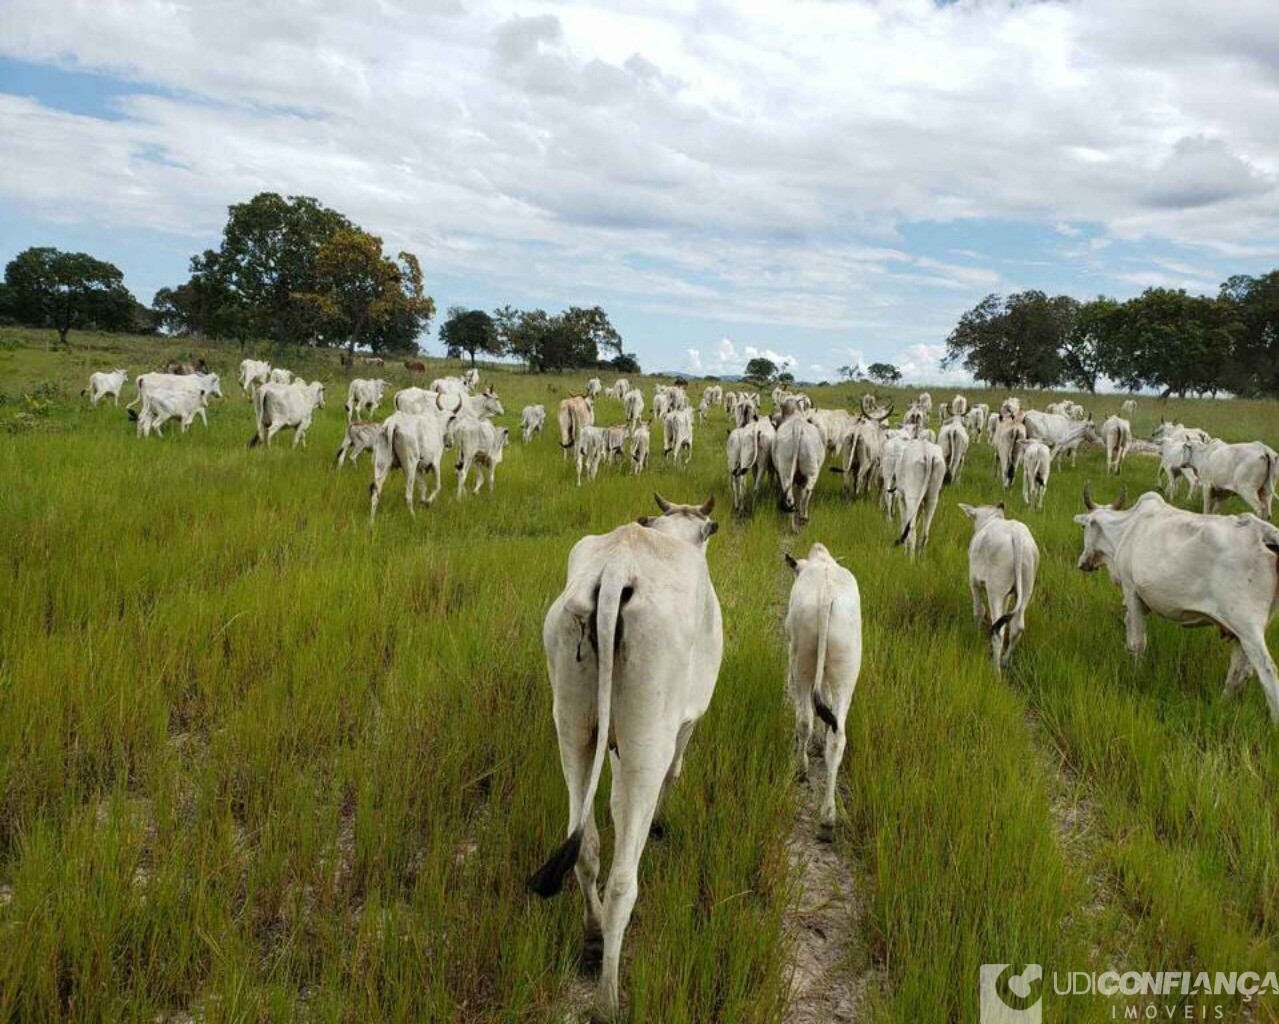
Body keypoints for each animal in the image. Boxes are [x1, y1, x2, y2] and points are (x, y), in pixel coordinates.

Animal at [526, 493, 726, 1012]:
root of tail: (618, 567)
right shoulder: (683, 724)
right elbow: (672, 777)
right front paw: (658, 824)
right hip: (646, 740)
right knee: (621, 882)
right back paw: (608, 999)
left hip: (572, 729)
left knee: (585, 845)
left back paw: (593, 939)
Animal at [772, 398, 823, 526]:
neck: (795, 415)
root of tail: (798, 428)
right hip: (811, 473)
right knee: (806, 492)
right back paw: (802, 518)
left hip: (787, 473)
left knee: (794, 495)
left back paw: (795, 522)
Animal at [777, 542, 859, 838]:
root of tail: (826, 597)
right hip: (847, 668)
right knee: (838, 735)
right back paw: (828, 818)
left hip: (801, 659)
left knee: (804, 719)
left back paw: (801, 769)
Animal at [961, 501, 1038, 674]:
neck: (990, 520)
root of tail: (1017, 535)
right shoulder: (1008, 594)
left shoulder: (973, 582)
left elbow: (978, 610)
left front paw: (974, 634)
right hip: (1026, 588)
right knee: (1017, 626)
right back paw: (1005, 661)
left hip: (995, 590)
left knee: (998, 631)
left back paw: (995, 670)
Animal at [1074, 488, 1279, 721]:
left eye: (1084, 527)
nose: (1083, 563)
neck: (1126, 528)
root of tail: (1266, 534)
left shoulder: (1131, 589)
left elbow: (1137, 642)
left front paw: (1136, 674)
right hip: (1244, 630)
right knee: (1240, 671)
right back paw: (1221, 706)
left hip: (1247, 626)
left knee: (1267, 673)